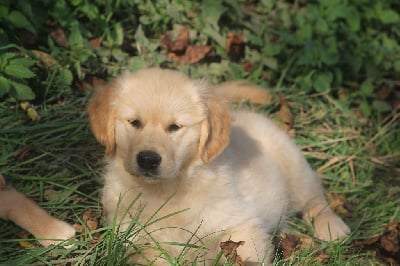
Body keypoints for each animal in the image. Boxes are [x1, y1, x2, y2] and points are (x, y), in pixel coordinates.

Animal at [87, 68, 350, 264]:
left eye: (175, 127)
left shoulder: (240, 225)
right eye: (134, 122)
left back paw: (332, 227)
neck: (167, 190)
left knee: (314, 198)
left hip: (293, 166)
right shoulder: (132, 237)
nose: (148, 159)